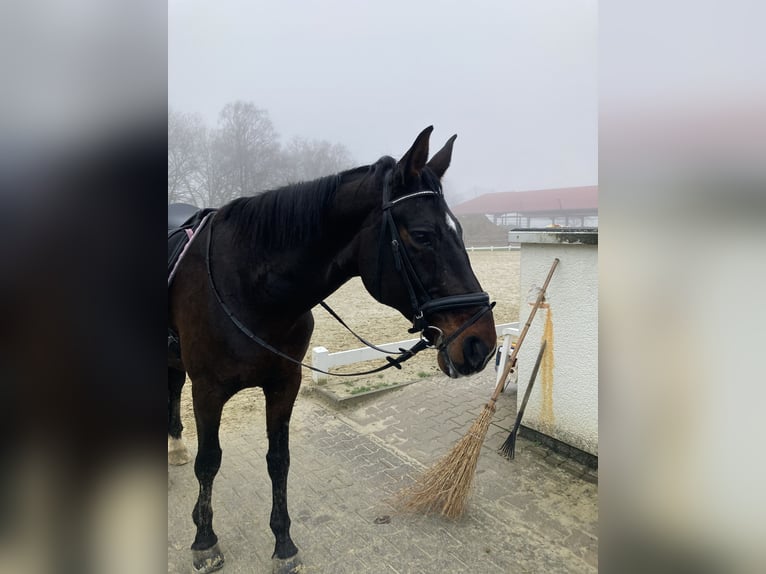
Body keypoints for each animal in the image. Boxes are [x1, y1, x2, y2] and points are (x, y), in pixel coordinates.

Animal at [168, 128, 498, 572]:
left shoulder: (284, 383)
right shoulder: (207, 390)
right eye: (423, 235)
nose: (481, 343)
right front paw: (204, 540)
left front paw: (283, 543)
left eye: (460, 231)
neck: (249, 285)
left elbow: (278, 460)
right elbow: (209, 462)